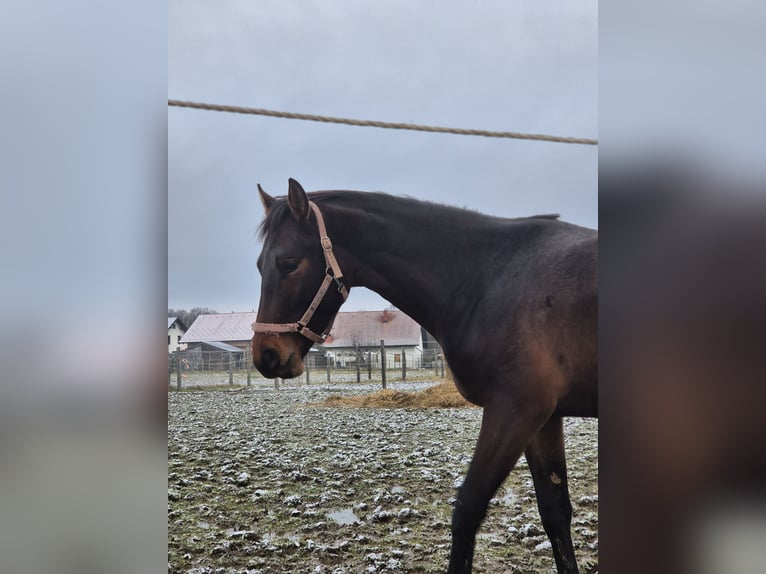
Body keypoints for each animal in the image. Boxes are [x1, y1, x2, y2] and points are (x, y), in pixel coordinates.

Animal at [252, 180, 600, 574]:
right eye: (260, 265)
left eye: (289, 263)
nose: (266, 355)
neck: (487, 278)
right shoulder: (544, 419)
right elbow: (555, 511)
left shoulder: (516, 411)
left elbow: (467, 510)